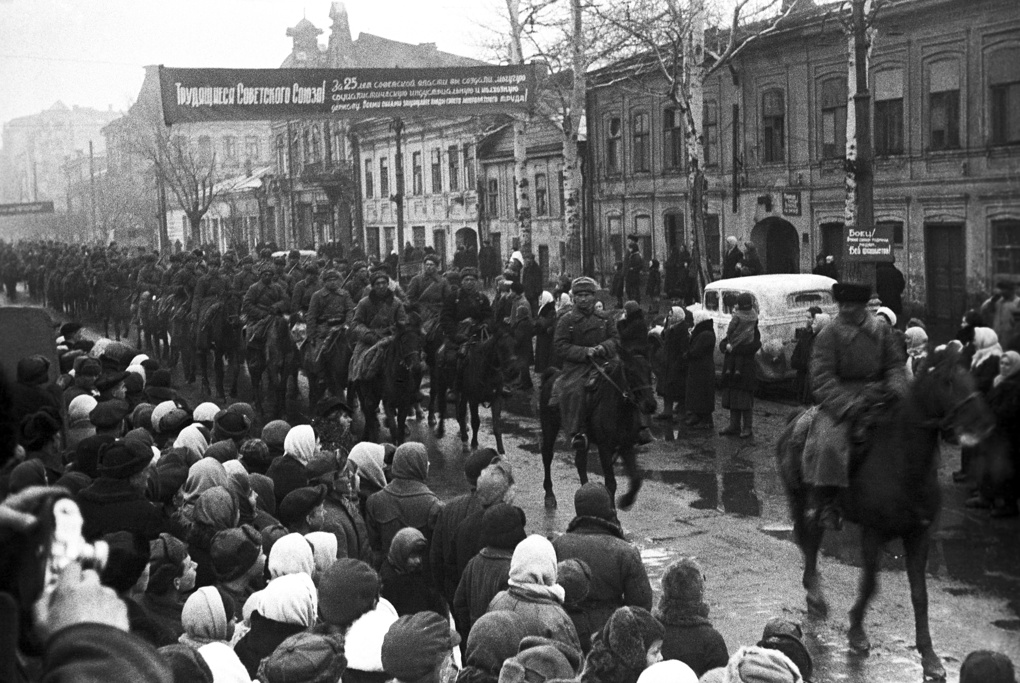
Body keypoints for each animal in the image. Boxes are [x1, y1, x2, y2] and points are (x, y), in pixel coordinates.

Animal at [357, 313, 424, 446]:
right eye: (404, 341)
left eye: (419, 341)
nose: (416, 367)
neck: (399, 378)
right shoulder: (388, 404)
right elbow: (393, 429)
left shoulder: (404, 404)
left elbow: (400, 428)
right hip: (367, 396)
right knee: (368, 413)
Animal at [454, 324, 518, 456]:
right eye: (502, 347)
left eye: (515, 345)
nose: (514, 372)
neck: (487, 371)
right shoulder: (473, 400)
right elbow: (475, 422)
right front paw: (474, 445)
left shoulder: (496, 399)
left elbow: (496, 425)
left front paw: (501, 451)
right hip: (462, 393)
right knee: (461, 412)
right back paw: (464, 440)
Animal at [538, 348, 656, 513]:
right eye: (631, 372)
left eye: (650, 370)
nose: (650, 405)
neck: (619, 409)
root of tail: (553, 374)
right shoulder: (604, 447)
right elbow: (611, 483)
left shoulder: (626, 445)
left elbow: (636, 479)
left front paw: (626, 501)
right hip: (550, 425)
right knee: (547, 455)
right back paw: (549, 496)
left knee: (580, 462)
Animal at [775, 350, 991, 680]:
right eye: (948, 381)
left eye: (973, 377)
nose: (981, 425)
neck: (903, 463)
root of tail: (797, 418)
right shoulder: (873, 532)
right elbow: (869, 584)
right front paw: (857, 632)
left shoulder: (919, 535)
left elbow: (920, 595)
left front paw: (929, 656)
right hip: (799, 499)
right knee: (808, 542)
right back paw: (815, 596)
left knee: (812, 541)